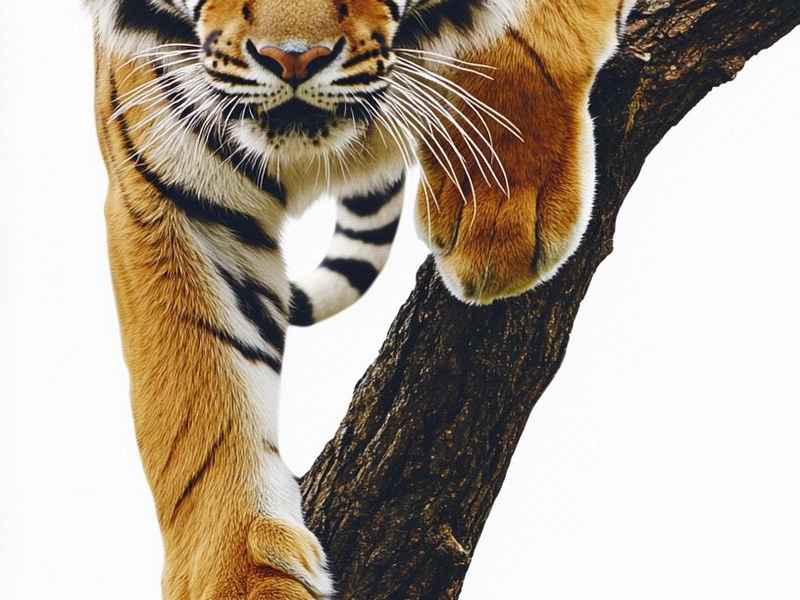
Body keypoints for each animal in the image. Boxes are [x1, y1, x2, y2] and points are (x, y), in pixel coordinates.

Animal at [88, 0, 636, 598]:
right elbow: (199, 403)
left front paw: (498, 214)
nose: (294, 58)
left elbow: (520, 39)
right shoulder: (173, 187)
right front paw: (240, 574)